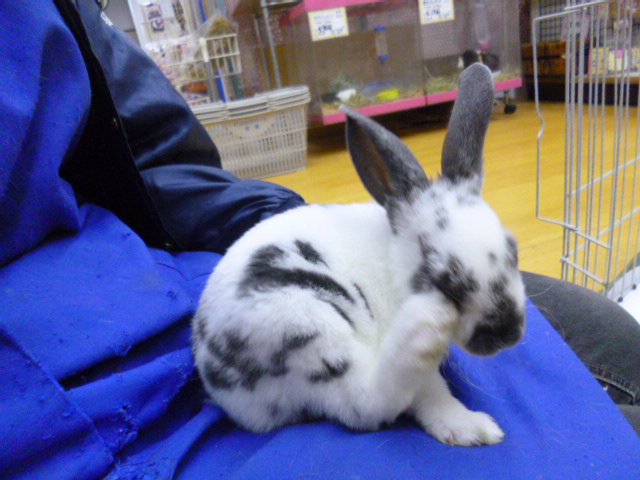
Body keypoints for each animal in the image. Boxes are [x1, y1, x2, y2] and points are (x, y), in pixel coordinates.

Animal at [192, 63, 526, 447]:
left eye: (513, 250)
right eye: (441, 278)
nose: (508, 333)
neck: (395, 266)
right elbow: (429, 393)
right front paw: (468, 426)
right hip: (307, 327)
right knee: (364, 404)